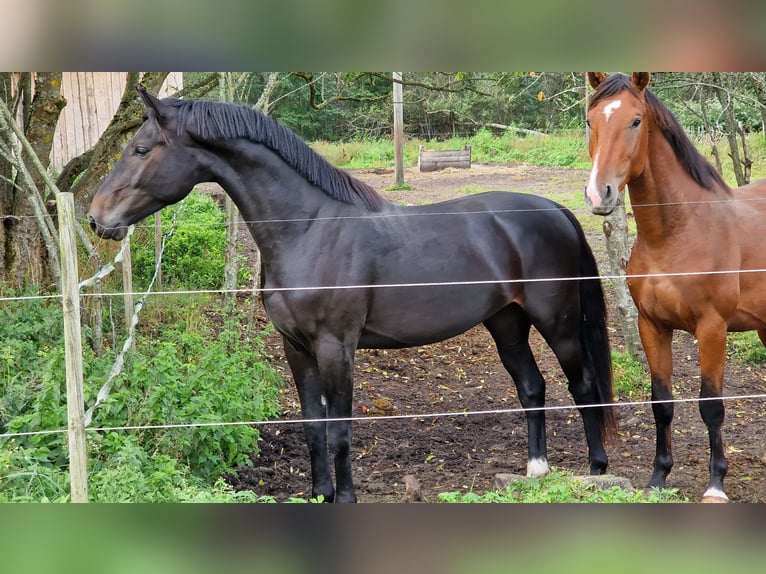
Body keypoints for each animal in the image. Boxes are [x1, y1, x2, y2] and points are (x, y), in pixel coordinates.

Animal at [89, 88, 616, 502]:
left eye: (140, 149)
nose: (96, 217)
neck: (308, 230)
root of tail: (556, 211)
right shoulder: (296, 348)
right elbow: (313, 427)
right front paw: (319, 493)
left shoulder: (335, 347)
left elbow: (340, 430)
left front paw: (343, 498)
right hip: (506, 321)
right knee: (532, 387)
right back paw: (536, 472)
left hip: (557, 323)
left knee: (583, 386)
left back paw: (595, 471)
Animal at [584, 72, 766, 502]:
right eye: (590, 121)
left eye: (636, 121)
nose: (600, 194)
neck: (677, 233)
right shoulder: (652, 326)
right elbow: (662, 402)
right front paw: (658, 477)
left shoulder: (712, 329)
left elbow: (711, 405)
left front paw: (716, 485)